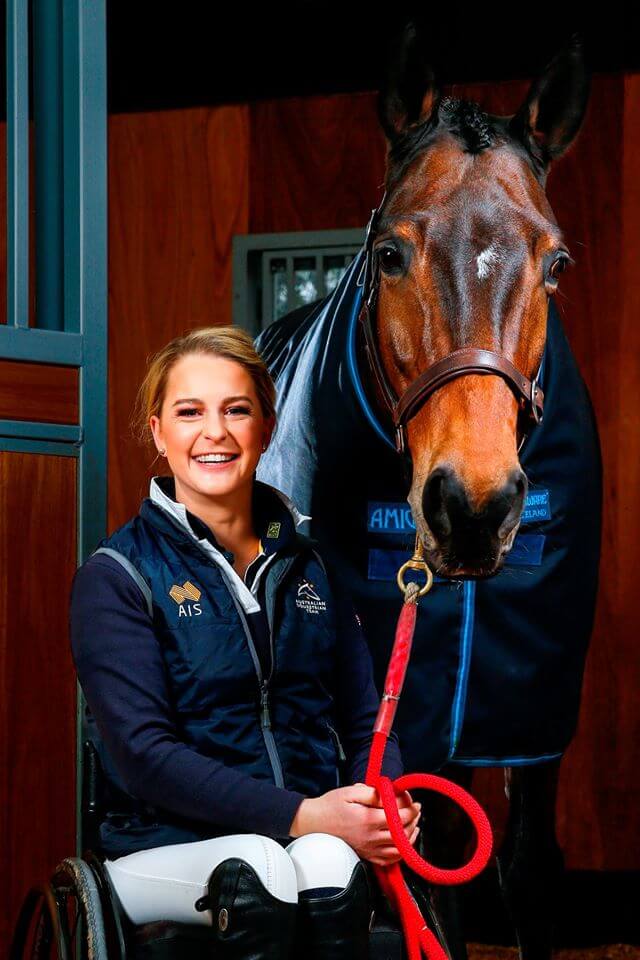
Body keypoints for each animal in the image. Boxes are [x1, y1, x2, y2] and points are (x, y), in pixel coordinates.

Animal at [256, 28, 601, 960]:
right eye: (389, 254)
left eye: (555, 262)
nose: (474, 507)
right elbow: (427, 857)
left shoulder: (534, 706)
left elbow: (527, 868)